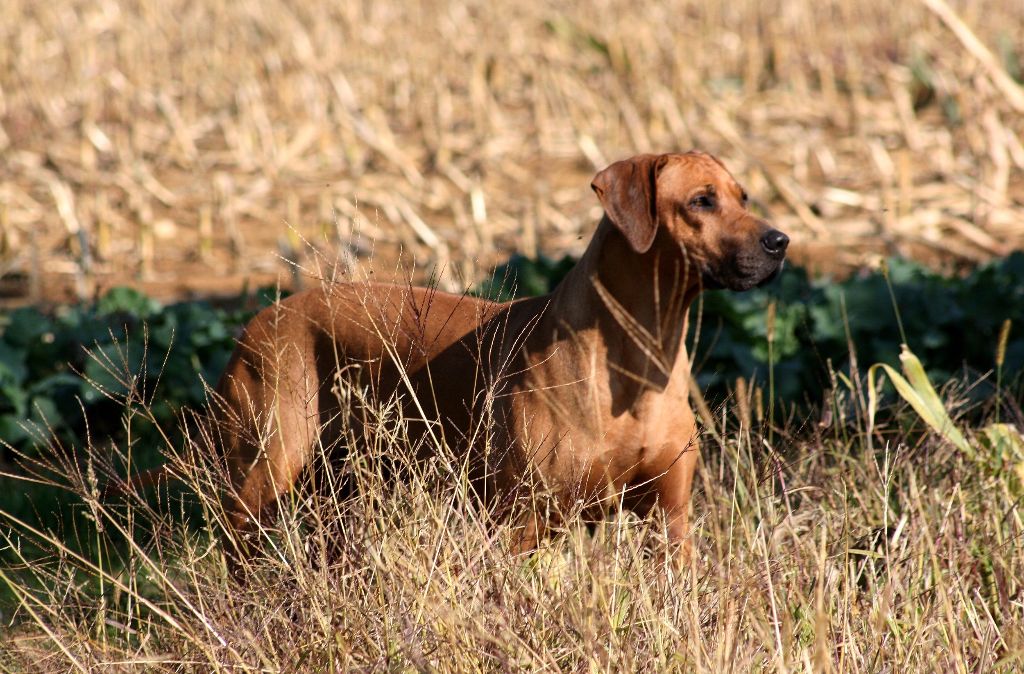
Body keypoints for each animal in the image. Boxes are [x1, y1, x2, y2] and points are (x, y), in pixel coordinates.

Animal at [216, 150, 786, 561]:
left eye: (743, 196)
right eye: (702, 201)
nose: (780, 241)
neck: (636, 353)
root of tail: (256, 321)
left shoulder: (671, 519)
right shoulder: (519, 521)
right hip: (265, 470)